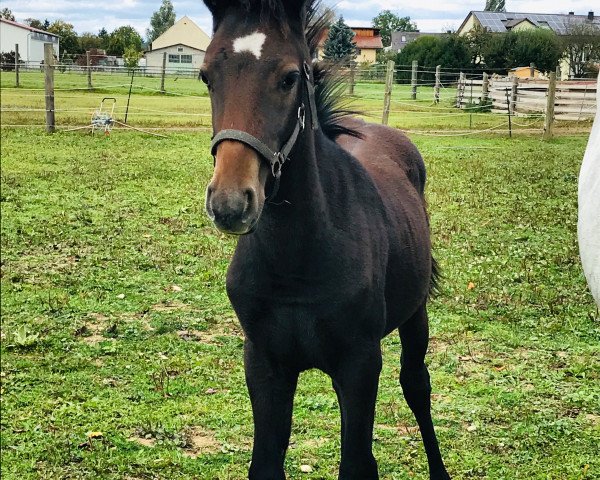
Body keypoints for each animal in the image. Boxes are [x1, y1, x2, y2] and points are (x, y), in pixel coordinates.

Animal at [202, 1, 450, 478]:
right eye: (206, 76)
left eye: (289, 78)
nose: (230, 202)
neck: (297, 261)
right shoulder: (264, 364)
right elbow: (266, 463)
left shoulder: (359, 366)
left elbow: (357, 462)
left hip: (415, 314)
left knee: (417, 385)